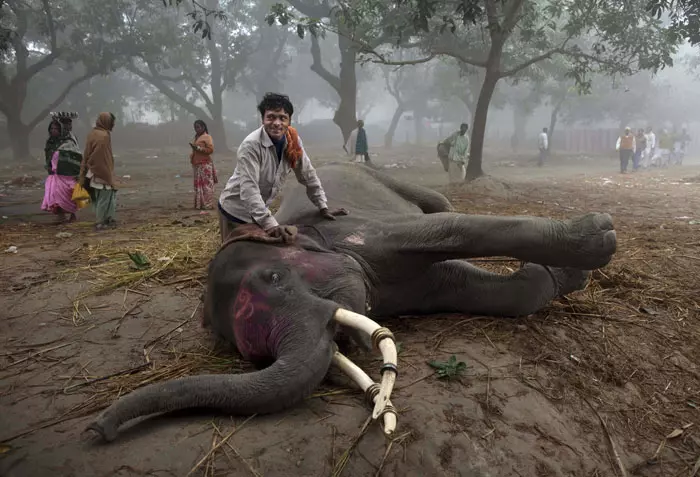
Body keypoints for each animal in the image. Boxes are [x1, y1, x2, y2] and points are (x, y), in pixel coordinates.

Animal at [89, 162, 616, 440]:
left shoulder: (359, 232)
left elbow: (449, 229)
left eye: (274, 278)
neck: (287, 232)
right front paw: (557, 274)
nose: (98, 429)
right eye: (251, 355)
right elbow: (470, 284)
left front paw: (597, 242)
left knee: (442, 206)